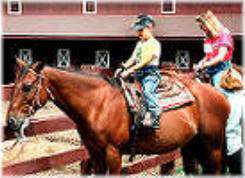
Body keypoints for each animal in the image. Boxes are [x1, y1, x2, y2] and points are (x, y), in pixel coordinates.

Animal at [6, 59, 231, 175]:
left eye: (27, 86)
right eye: (14, 86)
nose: (11, 121)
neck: (98, 104)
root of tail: (219, 95)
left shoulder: (113, 153)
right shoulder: (95, 154)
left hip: (213, 147)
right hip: (191, 146)